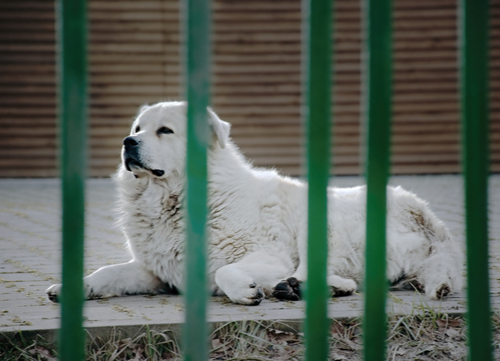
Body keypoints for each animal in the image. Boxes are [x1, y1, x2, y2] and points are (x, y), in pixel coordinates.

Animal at [45, 100, 462, 304]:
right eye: (137, 129)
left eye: (165, 131)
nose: (127, 143)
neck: (172, 200)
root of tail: (432, 223)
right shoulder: (158, 272)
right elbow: (108, 272)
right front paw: (73, 287)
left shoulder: (264, 255)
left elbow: (224, 271)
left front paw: (246, 290)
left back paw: (307, 287)